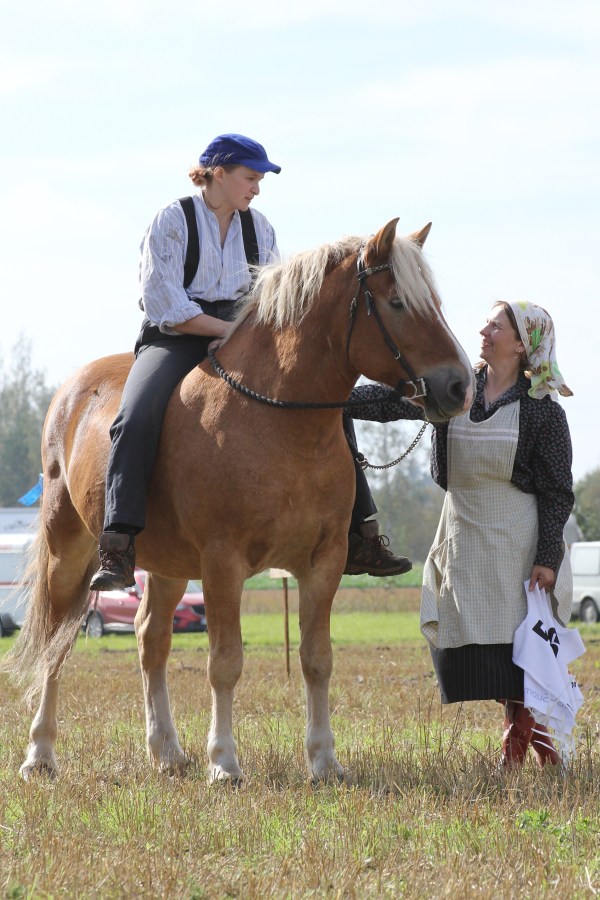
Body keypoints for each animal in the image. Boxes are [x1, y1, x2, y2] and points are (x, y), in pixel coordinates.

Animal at [2, 218, 474, 783]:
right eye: (398, 302)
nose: (460, 386)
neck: (277, 421)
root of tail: (70, 392)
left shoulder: (324, 561)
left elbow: (317, 658)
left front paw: (324, 760)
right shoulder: (222, 563)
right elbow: (225, 662)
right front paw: (224, 762)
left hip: (166, 565)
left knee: (150, 640)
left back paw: (166, 750)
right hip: (68, 551)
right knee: (56, 642)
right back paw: (40, 754)